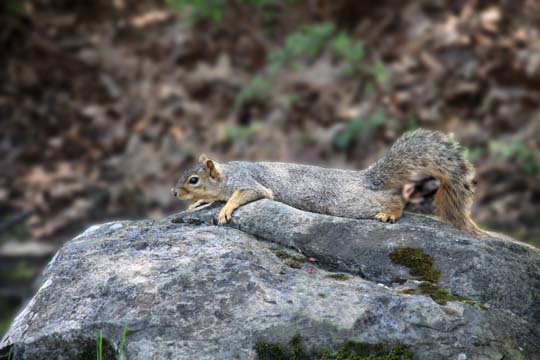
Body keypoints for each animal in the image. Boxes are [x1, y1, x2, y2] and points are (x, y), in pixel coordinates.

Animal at [174, 128, 486, 235]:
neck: (226, 173)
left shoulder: (250, 182)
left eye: (193, 179)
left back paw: (389, 213)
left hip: (350, 203)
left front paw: (225, 209)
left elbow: (244, 194)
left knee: (394, 198)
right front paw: (197, 205)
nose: (174, 193)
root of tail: (366, 178)